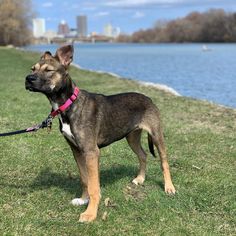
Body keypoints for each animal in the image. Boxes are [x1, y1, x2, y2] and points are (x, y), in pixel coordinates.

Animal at [24, 44, 175, 223]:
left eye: (48, 70)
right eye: (32, 69)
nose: (28, 79)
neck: (69, 104)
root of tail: (148, 98)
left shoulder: (91, 152)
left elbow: (94, 186)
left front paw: (90, 213)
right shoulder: (76, 150)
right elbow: (85, 180)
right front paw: (83, 199)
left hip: (157, 135)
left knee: (164, 161)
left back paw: (169, 187)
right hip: (131, 136)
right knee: (143, 155)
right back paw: (140, 179)